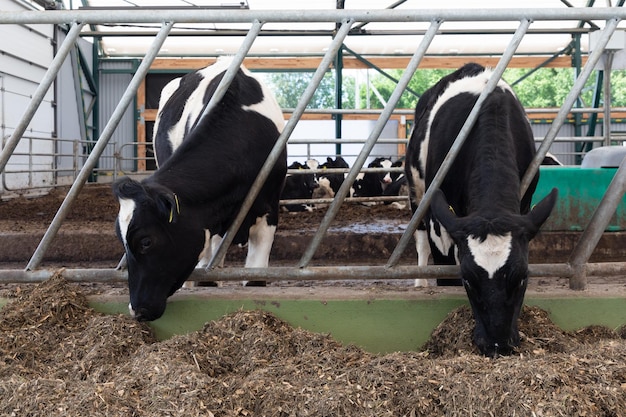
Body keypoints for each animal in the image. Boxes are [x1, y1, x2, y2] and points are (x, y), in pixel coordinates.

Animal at [112, 57, 286, 318]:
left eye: (146, 241)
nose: (137, 310)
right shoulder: (209, 221)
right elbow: (207, 273)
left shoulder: (269, 208)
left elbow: (255, 276)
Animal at [404, 63, 556, 356]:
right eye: (468, 280)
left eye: (522, 277)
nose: (497, 344)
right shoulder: (441, 218)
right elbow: (443, 265)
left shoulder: (524, 203)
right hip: (416, 194)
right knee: (421, 242)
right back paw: (419, 283)